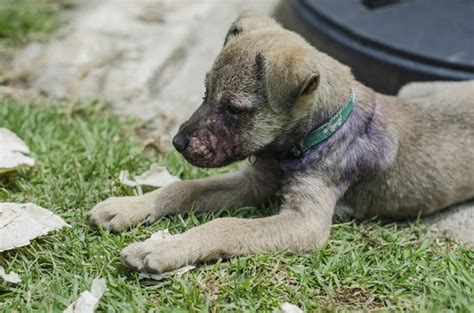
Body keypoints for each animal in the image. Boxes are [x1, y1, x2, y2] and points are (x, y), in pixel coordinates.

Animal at [90, 11, 474, 272]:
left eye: (233, 109)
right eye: (204, 92)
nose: (177, 142)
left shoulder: (305, 222)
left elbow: (226, 225)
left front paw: (163, 249)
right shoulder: (255, 182)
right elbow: (185, 188)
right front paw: (129, 206)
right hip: (412, 88)